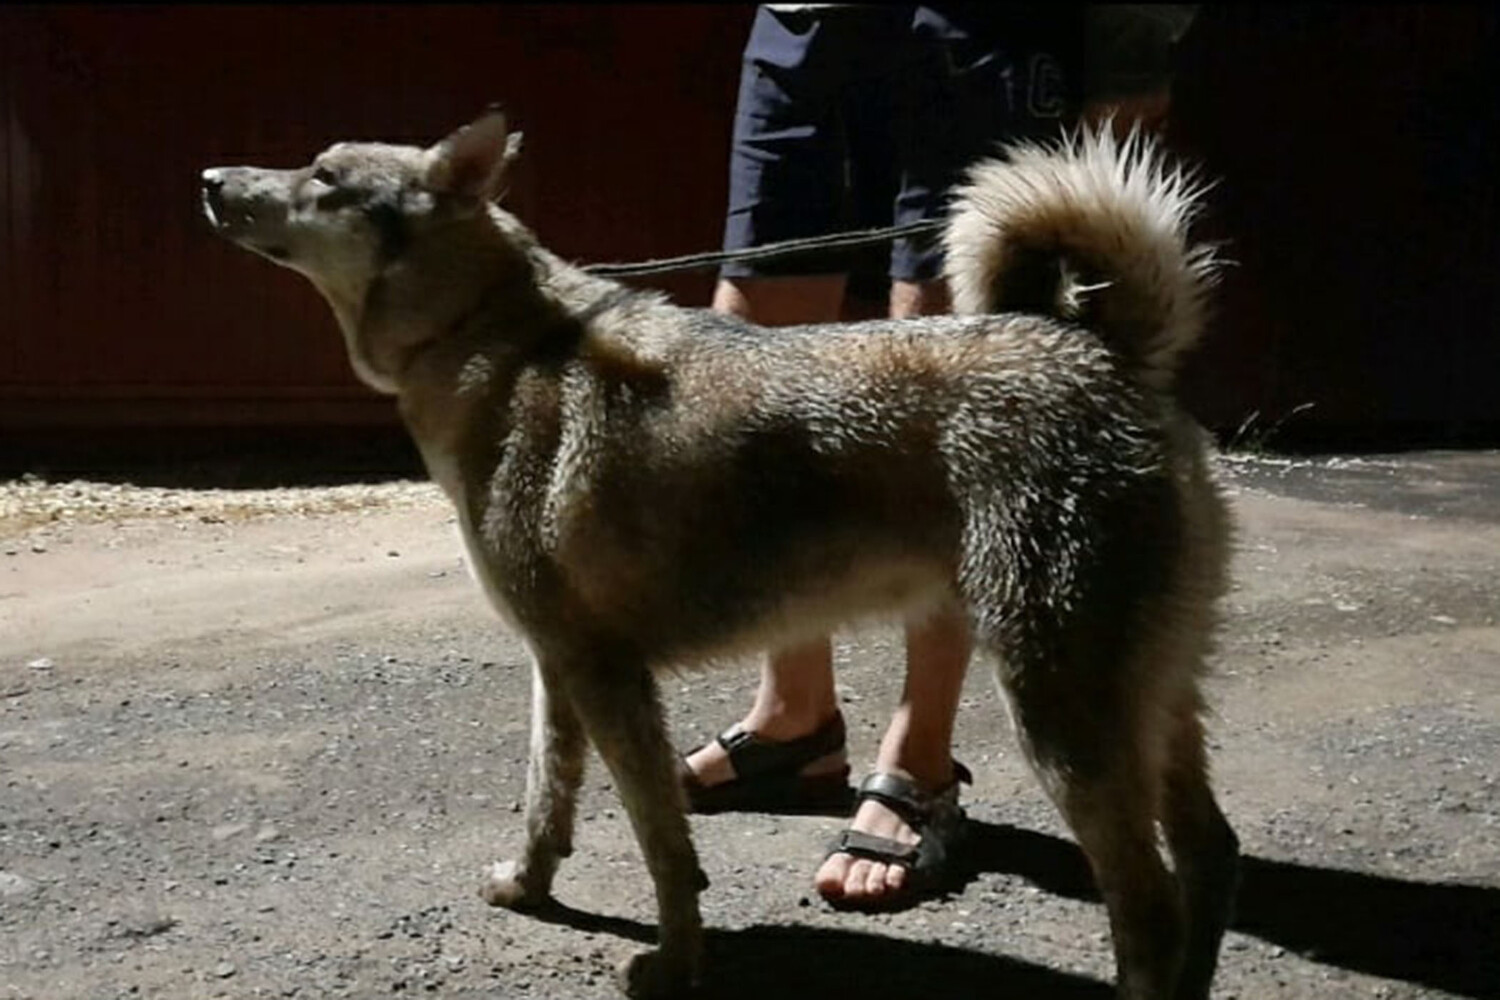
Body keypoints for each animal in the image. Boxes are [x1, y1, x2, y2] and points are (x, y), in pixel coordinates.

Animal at [202, 111, 1242, 1000]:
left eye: (324, 176)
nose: (210, 178)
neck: (491, 331)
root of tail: (1106, 354)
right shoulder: (560, 666)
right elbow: (547, 798)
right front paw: (528, 885)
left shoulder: (608, 676)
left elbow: (661, 845)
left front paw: (676, 962)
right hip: (1147, 704)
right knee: (1210, 854)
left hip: (1062, 710)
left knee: (1149, 908)